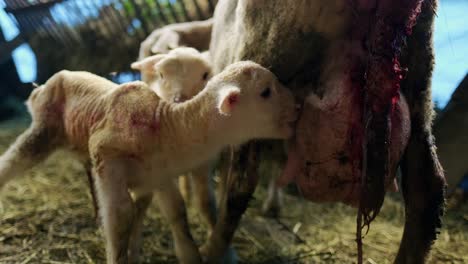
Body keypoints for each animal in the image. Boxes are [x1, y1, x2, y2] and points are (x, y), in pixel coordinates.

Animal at [0, 60, 298, 262]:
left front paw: (188, 255)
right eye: (265, 92)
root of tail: (42, 87)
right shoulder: (107, 157)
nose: (297, 109)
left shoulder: (158, 174)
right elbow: (121, 217)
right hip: (43, 131)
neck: (165, 124)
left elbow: (177, 212)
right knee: (12, 161)